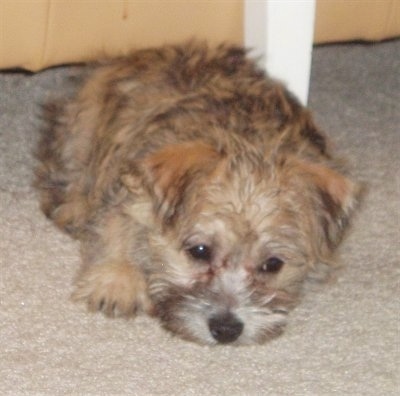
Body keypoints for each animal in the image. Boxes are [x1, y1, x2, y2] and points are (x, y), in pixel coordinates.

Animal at [35, 41, 360, 344]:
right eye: (200, 251)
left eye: (273, 265)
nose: (226, 329)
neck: (246, 141)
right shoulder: (130, 189)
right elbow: (115, 226)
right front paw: (117, 280)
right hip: (80, 128)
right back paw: (74, 208)